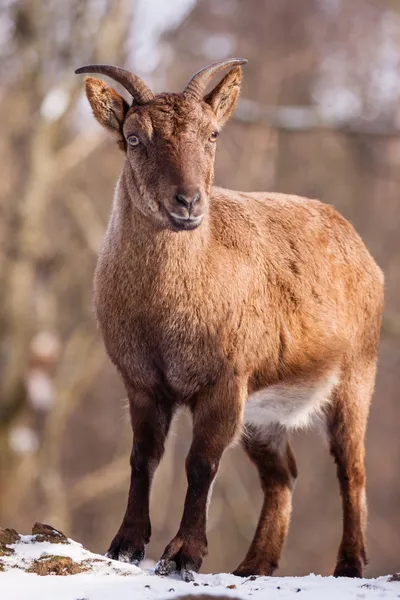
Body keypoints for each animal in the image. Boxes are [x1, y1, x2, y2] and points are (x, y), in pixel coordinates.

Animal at [76, 58, 384, 580]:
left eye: (213, 134)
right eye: (134, 137)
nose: (187, 202)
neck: (163, 314)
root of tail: (360, 248)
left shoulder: (224, 380)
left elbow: (201, 462)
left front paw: (183, 554)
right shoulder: (142, 381)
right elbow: (143, 457)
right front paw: (125, 545)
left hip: (355, 376)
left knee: (351, 467)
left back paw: (348, 564)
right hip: (264, 414)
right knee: (282, 474)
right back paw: (253, 564)